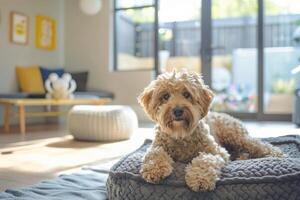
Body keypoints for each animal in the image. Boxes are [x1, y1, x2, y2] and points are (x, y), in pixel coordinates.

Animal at [138, 70, 284, 192]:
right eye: (165, 96)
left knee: (261, 145)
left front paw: (200, 178)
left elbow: (205, 159)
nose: (178, 110)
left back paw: (276, 155)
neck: (181, 134)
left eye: (187, 94)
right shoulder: (156, 146)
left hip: (236, 136)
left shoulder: (217, 152)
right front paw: (154, 169)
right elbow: (154, 153)